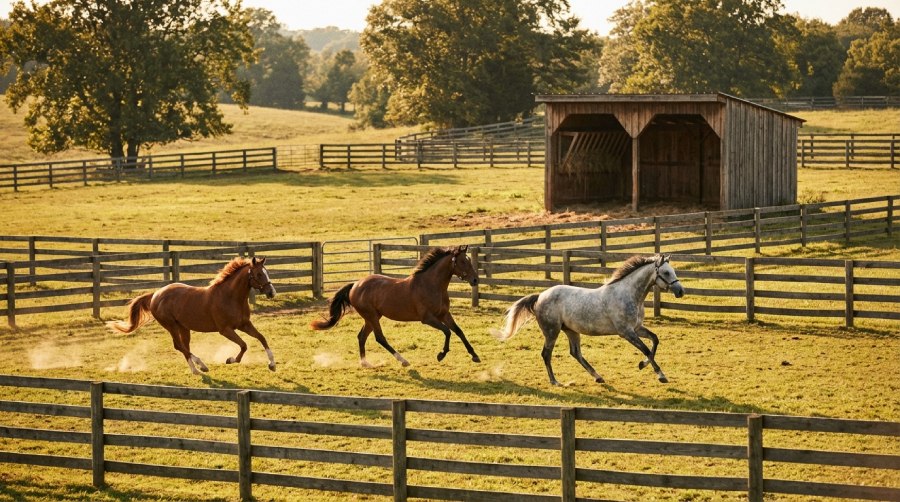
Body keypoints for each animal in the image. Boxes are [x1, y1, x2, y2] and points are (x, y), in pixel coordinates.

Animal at [107, 256, 277, 374]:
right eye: (258, 274)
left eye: (267, 272)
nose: (271, 293)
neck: (230, 297)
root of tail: (156, 294)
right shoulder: (225, 330)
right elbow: (244, 345)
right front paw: (230, 359)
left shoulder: (244, 324)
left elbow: (262, 338)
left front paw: (272, 364)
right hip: (171, 326)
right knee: (178, 346)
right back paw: (200, 367)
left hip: (184, 327)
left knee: (184, 345)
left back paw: (198, 367)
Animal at [310, 245, 481, 367]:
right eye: (463, 262)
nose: (475, 280)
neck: (431, 285)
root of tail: (355, 285)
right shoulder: (428, 318)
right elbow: (447, 331)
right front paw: (441, 354)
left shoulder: (444, 314)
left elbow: (458, 331)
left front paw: (475, 355)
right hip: (372, 316)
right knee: (380, 338)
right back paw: (403, 361)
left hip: (372, 317)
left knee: (362, 336)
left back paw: (365, 363)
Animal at [493, 254, 685, 386]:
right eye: (666, 272)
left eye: (673, 271)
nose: (680, 291)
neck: (628, 294)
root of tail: (540, 296)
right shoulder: (626, 332)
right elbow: (646, 349)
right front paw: (661, 375)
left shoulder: (637, 328)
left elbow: (655, 341)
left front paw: (642, 365)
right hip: (552, 332)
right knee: (546, 354)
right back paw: (555, 381)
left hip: (571, 330)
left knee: (575, 353)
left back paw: (598, 377)